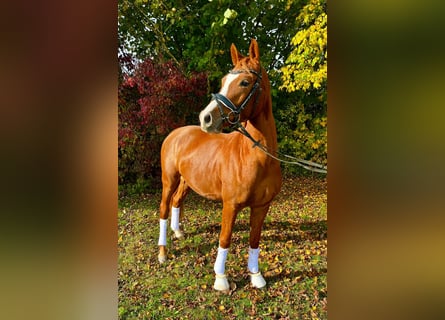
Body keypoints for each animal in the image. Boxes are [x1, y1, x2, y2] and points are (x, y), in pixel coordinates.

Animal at [156, 39, 280, 290]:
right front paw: (221, 279)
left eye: (244, 82)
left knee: (176, 201)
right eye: (223, 81)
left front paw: (256, 276)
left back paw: (178, 232)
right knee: (164, 208)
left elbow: (254, 239)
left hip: (186, 181)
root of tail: (175, 134)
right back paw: (163, 252)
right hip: (169, 180)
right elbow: (225, 238)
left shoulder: (262, 206)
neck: (255, 158)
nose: (206, 118)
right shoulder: (230, 205)